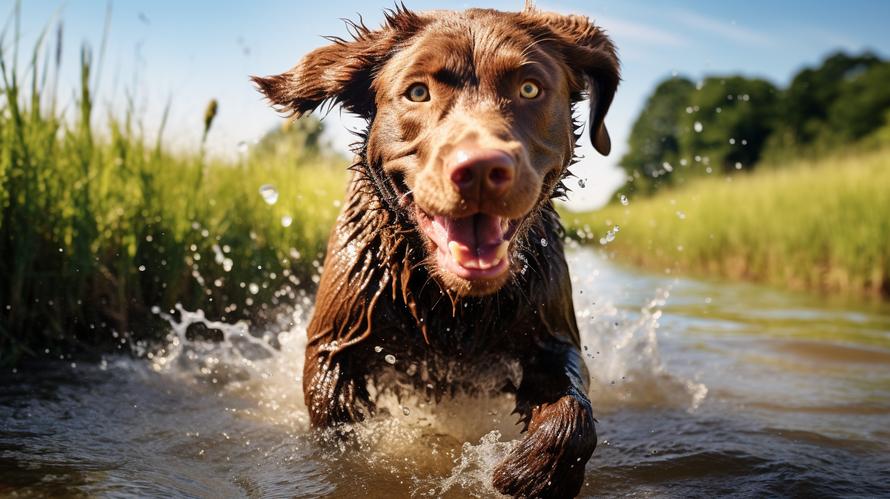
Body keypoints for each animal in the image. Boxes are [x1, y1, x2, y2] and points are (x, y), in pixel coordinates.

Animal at [251, 4, 616, 499]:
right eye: (418, 92)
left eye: (529, 88)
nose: (480, 169)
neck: (450, 301)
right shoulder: (339, 332)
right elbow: (334, 411)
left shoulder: (549, 326)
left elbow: (572, 407)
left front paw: (532, 471)